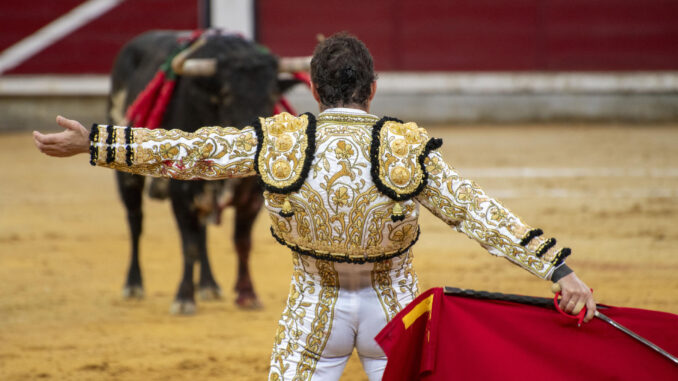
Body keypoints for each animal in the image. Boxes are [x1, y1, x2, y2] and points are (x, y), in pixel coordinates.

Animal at [107, 29, 310, 314]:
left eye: (271, 95)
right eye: (226, 94)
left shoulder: (251, 197)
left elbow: (242, 242)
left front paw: (248, 295)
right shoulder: (182, 192)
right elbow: (189, 245)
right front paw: (184, 299)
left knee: (201, 231)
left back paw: (208, 285)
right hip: (126, 175)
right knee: (136, 222)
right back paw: (134, 284)